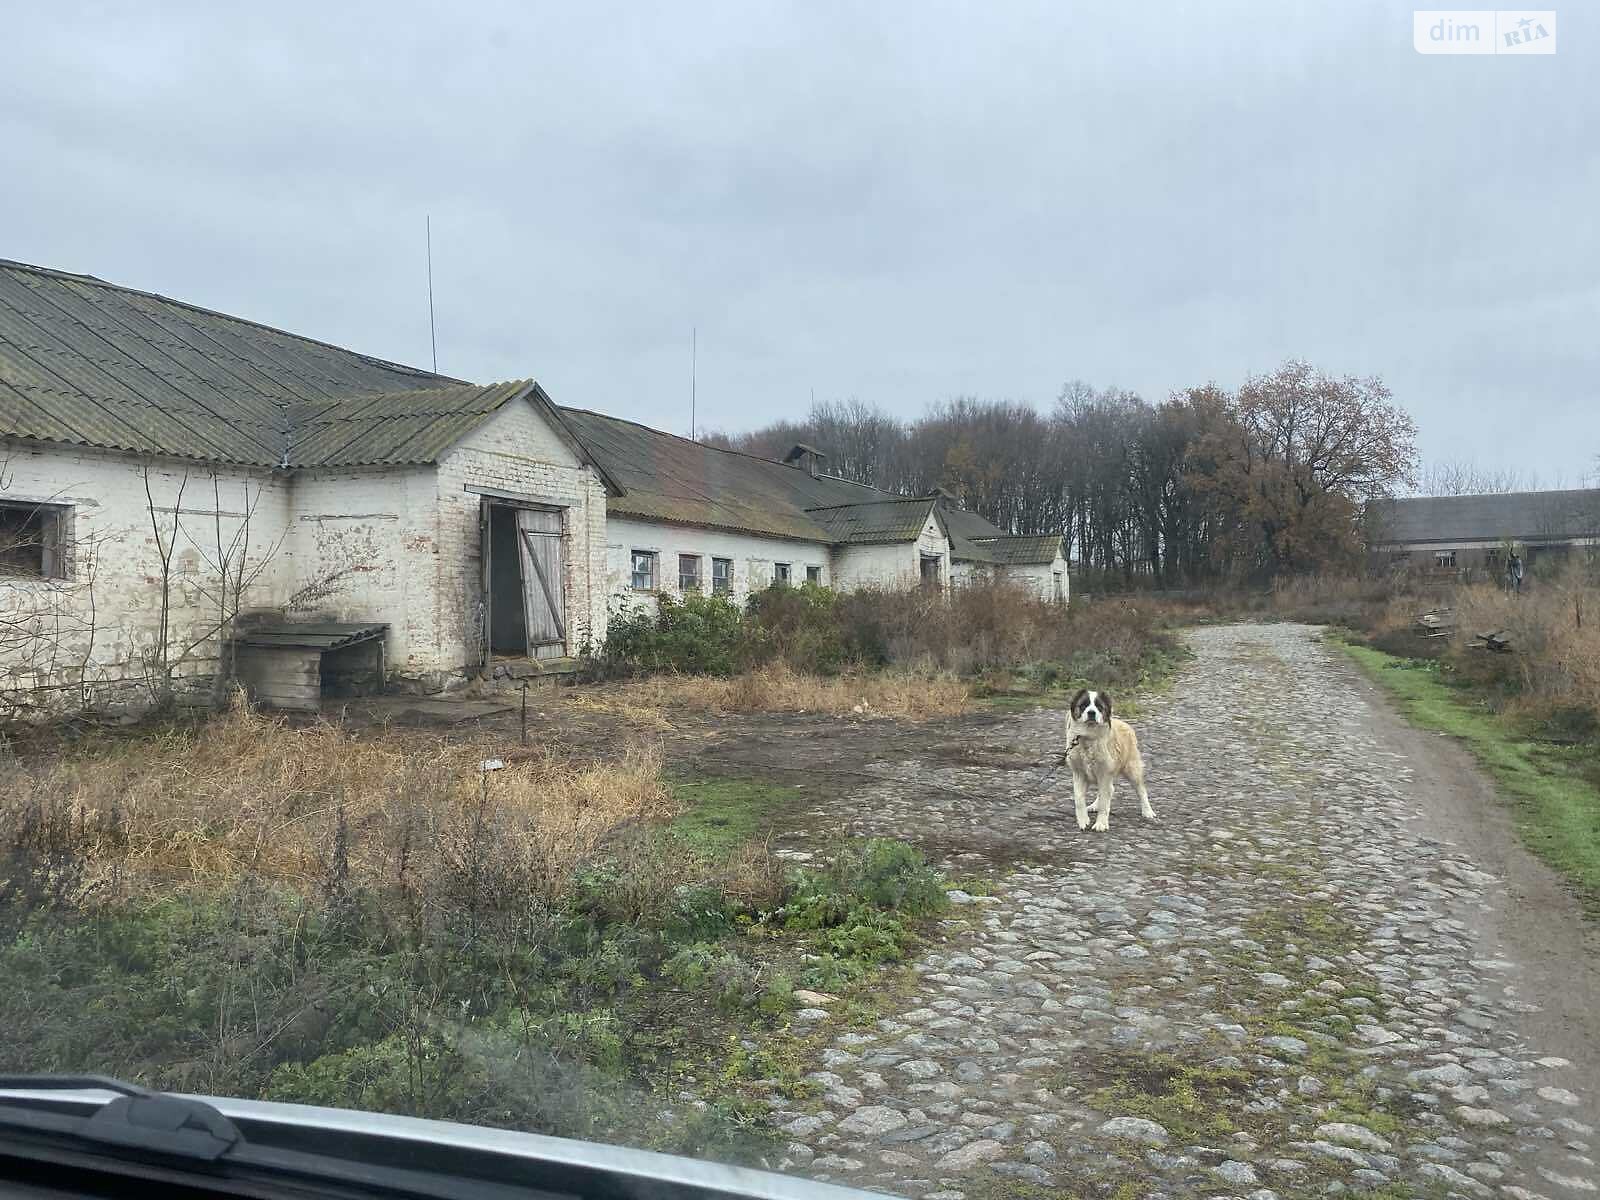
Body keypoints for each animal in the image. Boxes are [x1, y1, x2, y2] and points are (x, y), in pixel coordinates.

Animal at [1068, 691, 1158, 832]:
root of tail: (1124, 723)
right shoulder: (1079, 773)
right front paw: (1083, 820)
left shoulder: (1105, 773)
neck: (1089, 738)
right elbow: (1078, 799)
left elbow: (1105, 802)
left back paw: (1147, 811)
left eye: (1099, 706)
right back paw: (1094, 805)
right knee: (1109, 789)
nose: (1091, 713)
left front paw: (1101, 824)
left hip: (1132, 770)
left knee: (1141, 790)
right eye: (1083, 705)